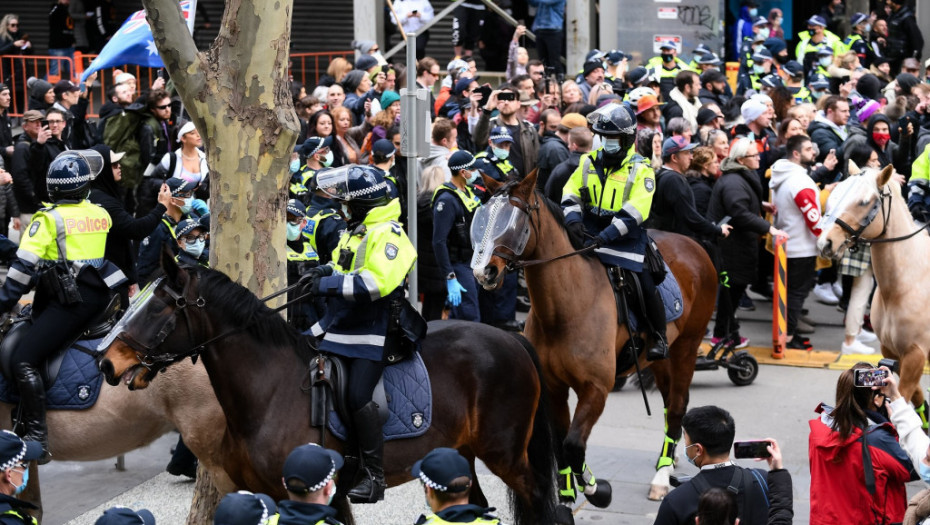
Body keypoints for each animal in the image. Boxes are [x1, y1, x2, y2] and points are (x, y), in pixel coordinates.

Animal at [94, 256, 560, 524]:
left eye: (159, 306)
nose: (106, 361)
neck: (270, 391)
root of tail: (513, 339)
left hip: (505, 455)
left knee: (542, 502)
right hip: (461, 454)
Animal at [472, 171, 716, 500]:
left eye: (514, 223)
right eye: (482, 218)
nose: (483, 271)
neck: (564, 310)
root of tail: (694, 245)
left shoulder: (596, 388)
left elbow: (574, 444)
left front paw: (594, 487)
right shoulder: (554, 388)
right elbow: (561, 445)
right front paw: (566, 492)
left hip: (687, 349)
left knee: (677, 407)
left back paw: (662, 476)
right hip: (663, 358)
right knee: (671, 406)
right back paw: (673, 454)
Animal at [820, 166, 928, 416]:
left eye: (864, 202)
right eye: (837, 193)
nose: (825, 242)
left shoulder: (917, 354)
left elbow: (902, 398)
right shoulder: (892, 350)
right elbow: (916, 396)